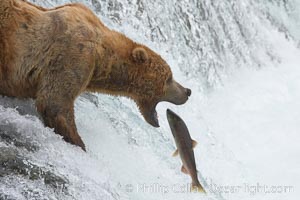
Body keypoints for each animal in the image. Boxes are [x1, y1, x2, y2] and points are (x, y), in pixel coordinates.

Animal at [0, 0, 190, 150]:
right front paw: (80, 144)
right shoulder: (74, 54)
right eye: (169, 78)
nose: (187, 91)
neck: (102, 57)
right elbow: (54, 103)